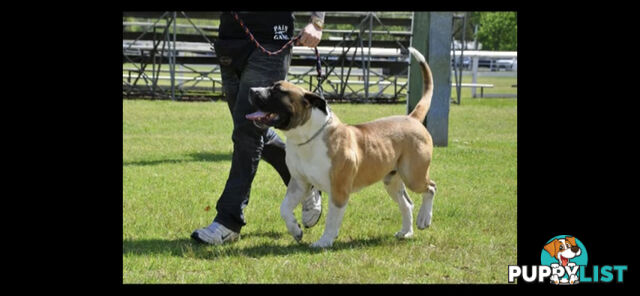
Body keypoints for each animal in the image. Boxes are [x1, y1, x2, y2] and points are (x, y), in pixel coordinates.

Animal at [245, 47, 436, 249]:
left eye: (277, 90)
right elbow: (284, 208)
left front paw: (324, 241)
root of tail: (412, 118)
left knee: (431, 187)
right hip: (392, 180)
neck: (306, 137)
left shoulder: (339, 190)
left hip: (413, 175)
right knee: (407, 204)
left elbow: (331, 219)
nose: (251, 90)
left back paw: (424, 219)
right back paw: (406, 232)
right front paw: (296, 230)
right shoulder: (299, 183)